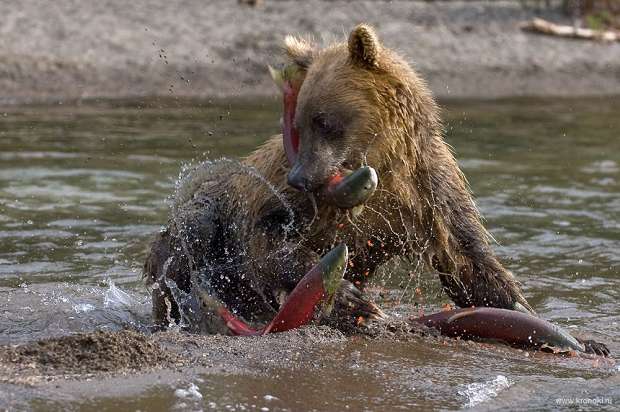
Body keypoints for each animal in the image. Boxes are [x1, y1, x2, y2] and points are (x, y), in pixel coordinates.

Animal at [144, 23, 532, 334]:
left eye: (324, 120)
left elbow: (465, 259)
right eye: (298, 122)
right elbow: (269, 239)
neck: (376, 169)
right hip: (203, 211)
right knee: (191, 239)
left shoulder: (427, 192)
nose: (301, 177)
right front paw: (350, 297)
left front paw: (517, 305)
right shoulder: (290, 201)